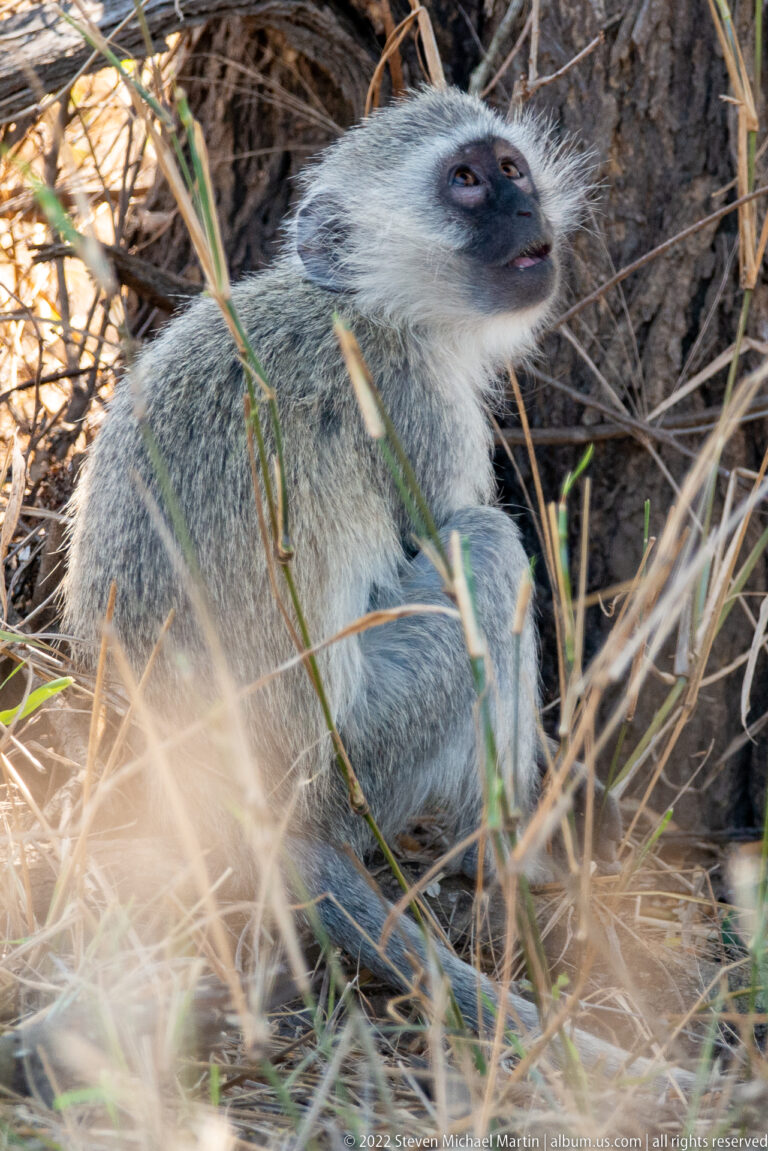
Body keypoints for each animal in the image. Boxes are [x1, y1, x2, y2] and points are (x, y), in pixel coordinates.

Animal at [56, 85, 693, 1091]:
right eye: (464, 181)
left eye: (507, 167)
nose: (524, 206)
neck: (359, 300)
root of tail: (256, 805)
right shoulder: (412, 396)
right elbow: (450, 525)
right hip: (361, 756)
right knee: (488, 551)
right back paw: (507, 853)